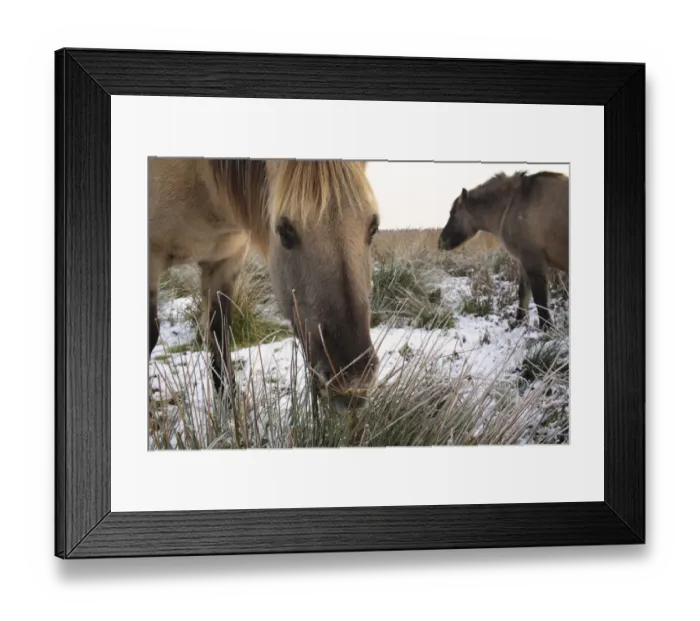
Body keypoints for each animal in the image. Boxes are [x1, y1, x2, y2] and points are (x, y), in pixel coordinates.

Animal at [148, 157, 381, 411]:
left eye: (373, 228)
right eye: (285, 232)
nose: (352, 382)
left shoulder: (226, 261)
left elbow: (220, 334)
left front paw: (231, 409)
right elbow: (151, 335)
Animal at [437, 170, 569, 331]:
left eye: (453, 213)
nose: (440, 241)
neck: (512, 204)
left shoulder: (533, 261)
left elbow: (540, 300)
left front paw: (546, 329)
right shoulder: (523, 262)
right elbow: (523, 293)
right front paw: (519, 322)